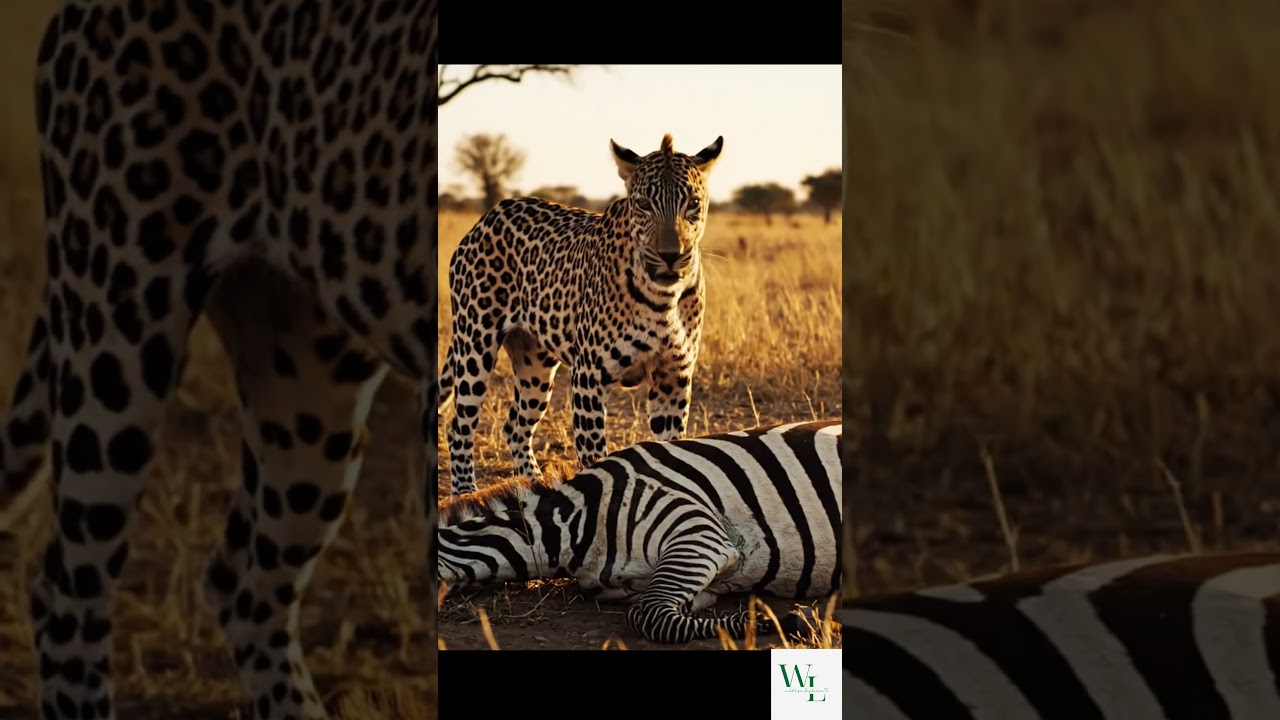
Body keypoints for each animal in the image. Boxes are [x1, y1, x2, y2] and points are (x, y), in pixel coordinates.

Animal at [438, 133, 723, 495]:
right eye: (644, 204)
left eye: (693, 204)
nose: (671, 255)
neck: (663, 300)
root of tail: (489, 216)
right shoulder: (589, 376)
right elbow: (595, 458)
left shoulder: (674, 378)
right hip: (475, 343)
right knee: (459, 427)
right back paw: (465, 493)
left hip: (535, 364)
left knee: (515, 425)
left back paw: (532, 483)